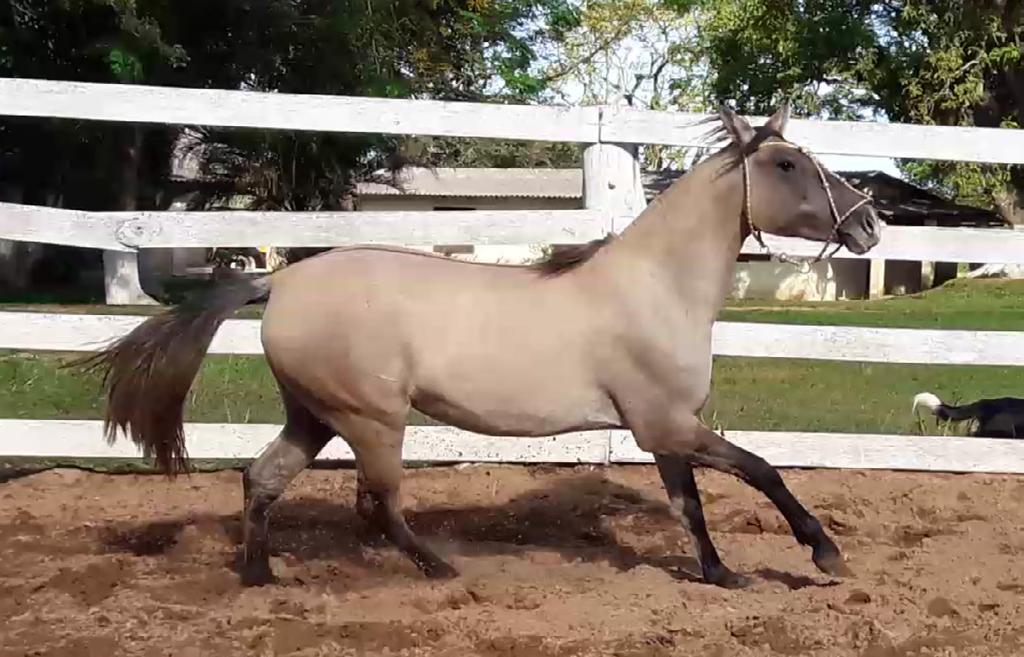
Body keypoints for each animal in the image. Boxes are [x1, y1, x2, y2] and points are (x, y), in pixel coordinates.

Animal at [77, 104, 880, 585]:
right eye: (786, 163)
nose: (870, 224)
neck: (656, 287)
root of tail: (278, 284)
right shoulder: (665, 423)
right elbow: (760, 470)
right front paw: (825, 554)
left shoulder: (663, 432)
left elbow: (691, 505)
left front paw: (720, 572)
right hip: (372, 418)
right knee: (384, 503)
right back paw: (439, 567)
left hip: (314, 415)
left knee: (262, 479)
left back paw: (261, 575)